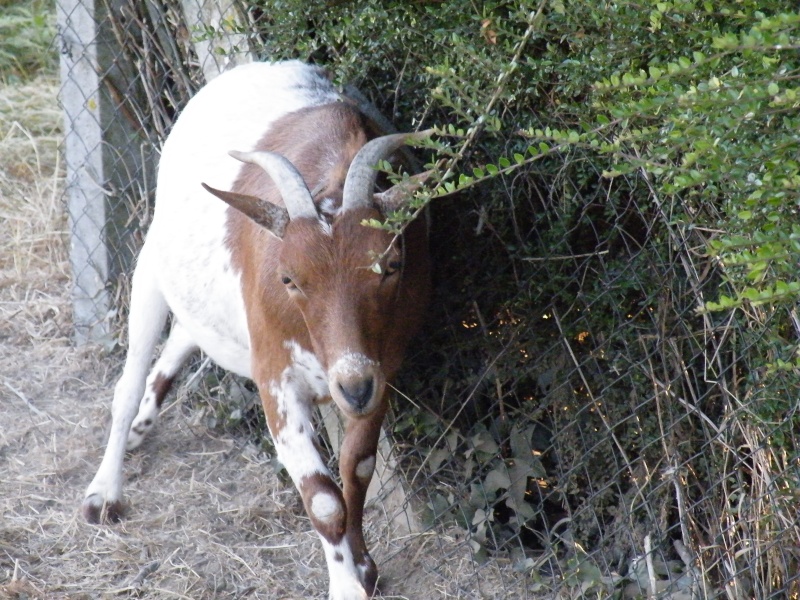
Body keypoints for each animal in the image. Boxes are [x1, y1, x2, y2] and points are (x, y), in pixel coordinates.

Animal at [83, 62, 432, 600]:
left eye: (392, 265)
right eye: (288, 279)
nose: (352, 386)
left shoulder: (383, 368)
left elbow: (358, 468)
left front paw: (365, 566)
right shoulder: (276, 375)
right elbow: (324, 499)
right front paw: (346, 584)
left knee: (187, 333)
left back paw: (142, 427)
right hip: (153, 264)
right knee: (128, 379)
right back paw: (104, 491)